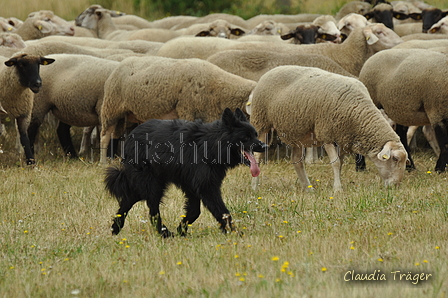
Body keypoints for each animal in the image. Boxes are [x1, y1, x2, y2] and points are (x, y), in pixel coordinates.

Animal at [99, 56, 258, 163]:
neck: (218, 88)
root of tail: (121, 63)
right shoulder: (187, 111)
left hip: (127, 115)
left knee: (116, 135)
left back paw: (113, 159)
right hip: (111, 108)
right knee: (105, 136)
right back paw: (103, 162)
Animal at [105, 108, 266, 236]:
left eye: (255, 134)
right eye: (246, 137)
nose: (265, 146)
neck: (210, 145)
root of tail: (130, 137)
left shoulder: (192, 187)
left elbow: (195, 211)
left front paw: (181, 230)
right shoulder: (207, 187)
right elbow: (222, 212)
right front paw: (234, 232)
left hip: (150, 183)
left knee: (127, 200)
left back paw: (115, 229)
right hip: (152, 184)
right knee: (152, 211)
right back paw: (163, 232)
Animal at [248, 65, 410, 192]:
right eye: (395, 158)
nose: (395, 186)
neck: (358, 111)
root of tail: (272, 70)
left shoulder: (343, 138)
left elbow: (341, 164)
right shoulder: (326, 133)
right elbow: (336, 163)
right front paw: (337, 189)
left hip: (297, 131)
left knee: (296, 161)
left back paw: (308, 188)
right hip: (262, 122)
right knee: (257, 156)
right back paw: (254, 187)